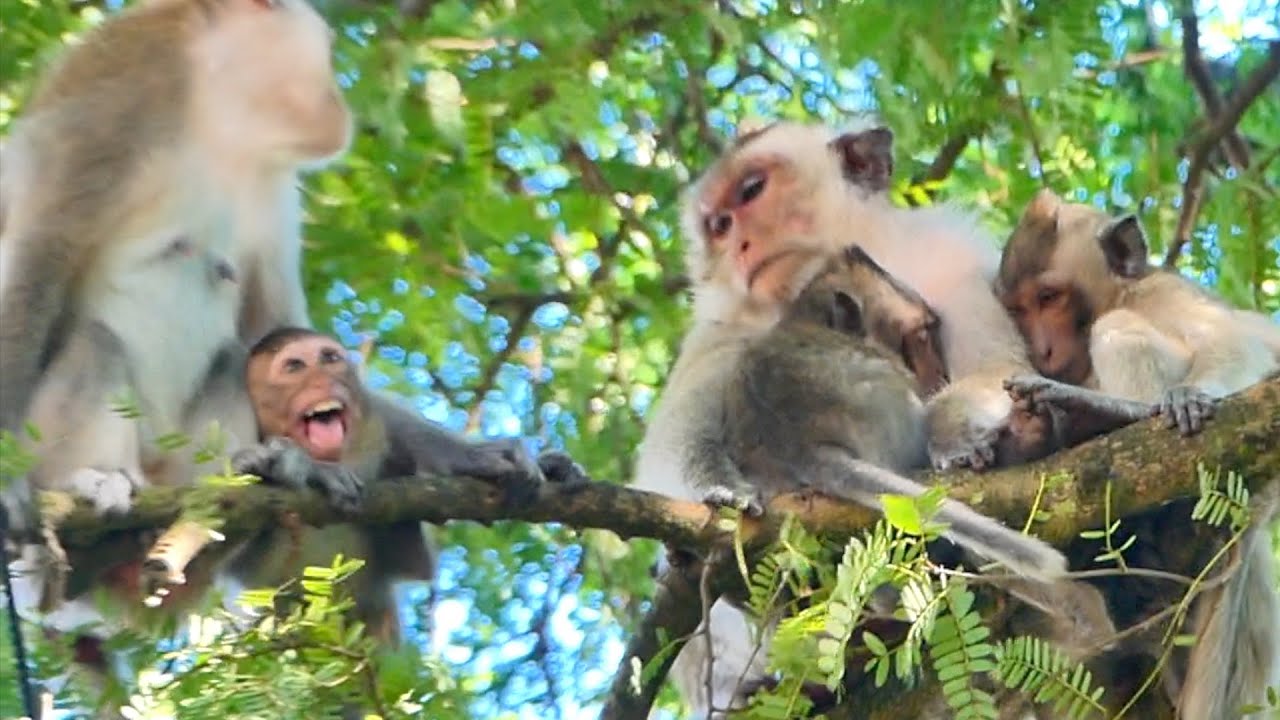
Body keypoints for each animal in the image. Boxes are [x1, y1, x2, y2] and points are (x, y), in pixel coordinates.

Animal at [994, 188, 1280, 720]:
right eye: (1020, 310)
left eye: (1049, 298)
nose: (1042, 351)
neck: (1126, 289)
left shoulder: (1163, 294)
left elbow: (1238, 345)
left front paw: (1190, 395)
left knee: (1115, 327)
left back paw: (1113, 414)